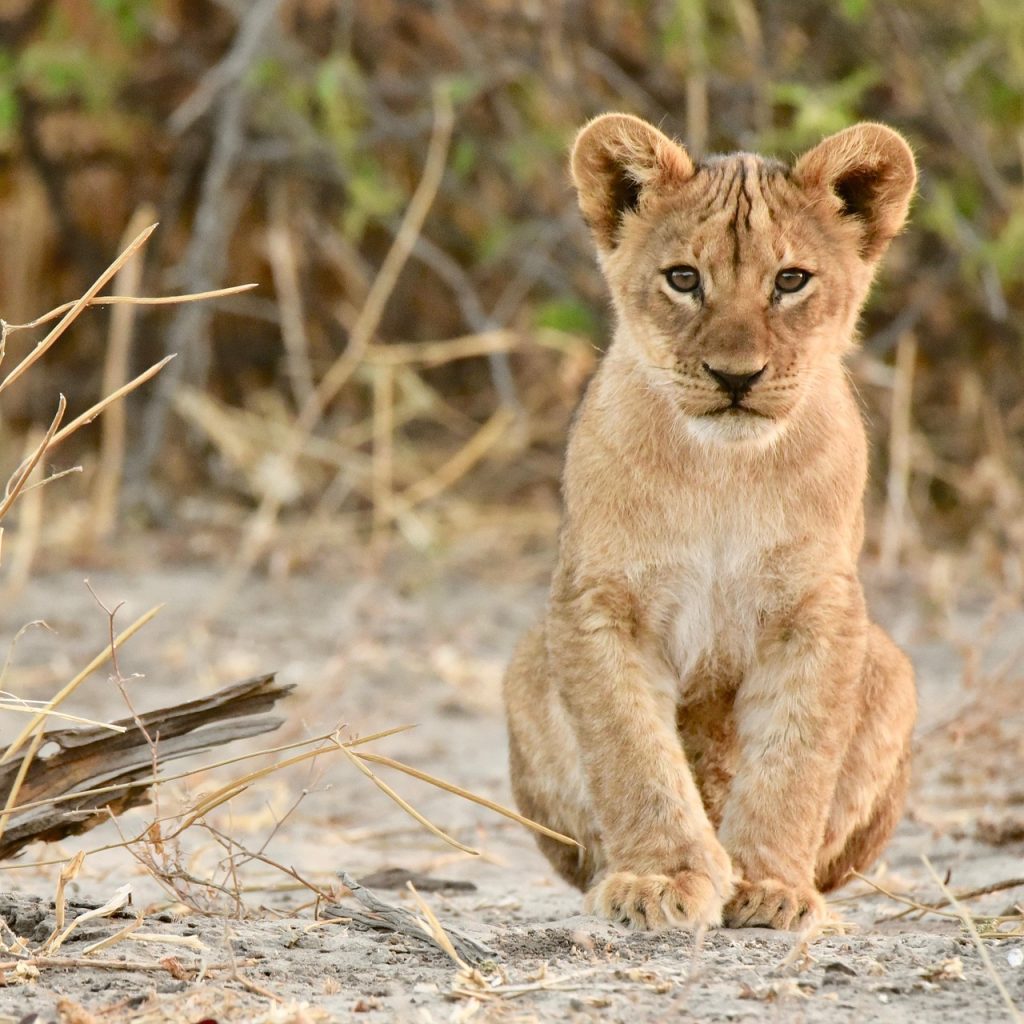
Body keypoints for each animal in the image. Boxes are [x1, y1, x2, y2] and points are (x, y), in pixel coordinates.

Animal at [503, 114, 918, 931]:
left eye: (790, 280)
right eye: (684, 279)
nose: (736, 377)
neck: (724, 475)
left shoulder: (820, 608)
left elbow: (794, 757)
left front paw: (770, 886)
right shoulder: (597, 604)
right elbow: (632, 753)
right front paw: (660, 878)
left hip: (894, 670)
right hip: (525, 665)